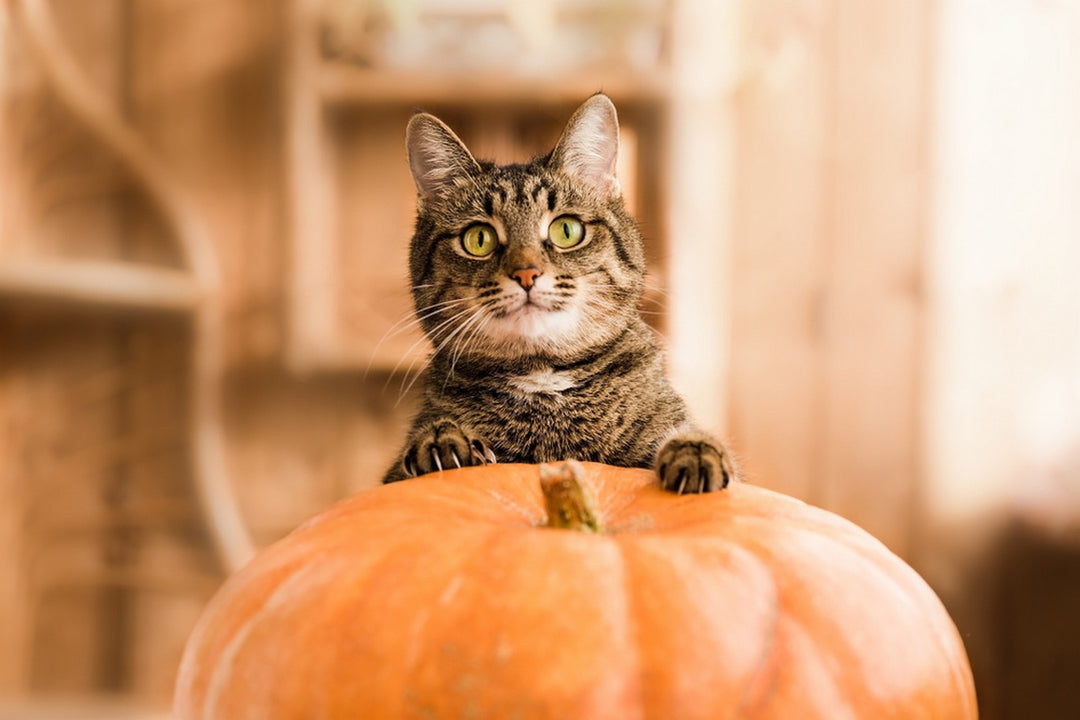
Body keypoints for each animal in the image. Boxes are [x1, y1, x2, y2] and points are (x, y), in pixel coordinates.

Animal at [384, 94, 738, 496]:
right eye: (479, 239)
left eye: (566, 230)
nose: (526, 272)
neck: (543, 378)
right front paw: (442, 442)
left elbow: (688, 436)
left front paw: (695, 452)